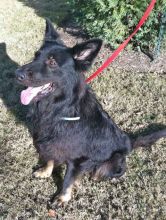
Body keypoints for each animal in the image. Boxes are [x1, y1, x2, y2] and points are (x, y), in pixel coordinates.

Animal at [15, 19, 166, 206]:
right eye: (36, 56)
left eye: (52, 62)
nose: (17, 74)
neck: (62, 107)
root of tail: (129, 141)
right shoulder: (50, 141)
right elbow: (50, 157)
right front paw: (45, 171)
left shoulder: (78, 158)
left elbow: (67, 179)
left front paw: (62, 197)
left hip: (112, 162)